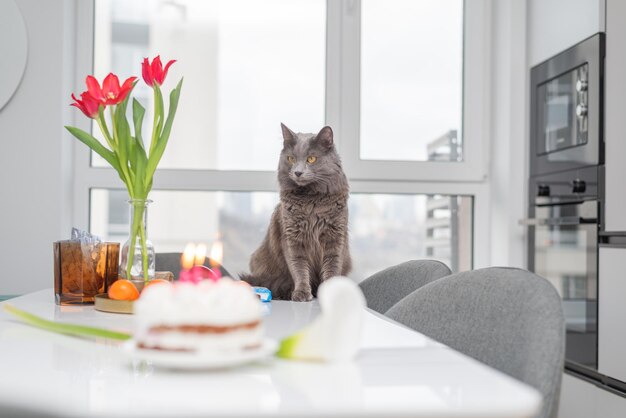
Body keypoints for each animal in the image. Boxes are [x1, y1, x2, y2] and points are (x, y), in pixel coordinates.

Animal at [241, 123, 352, 300]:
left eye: (311, 159)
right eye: (291, 159)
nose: (298, 172)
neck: (311, 199)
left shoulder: (335, 238)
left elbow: (332, 267)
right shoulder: (292, 238)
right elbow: (299, 268)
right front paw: (301, 293)